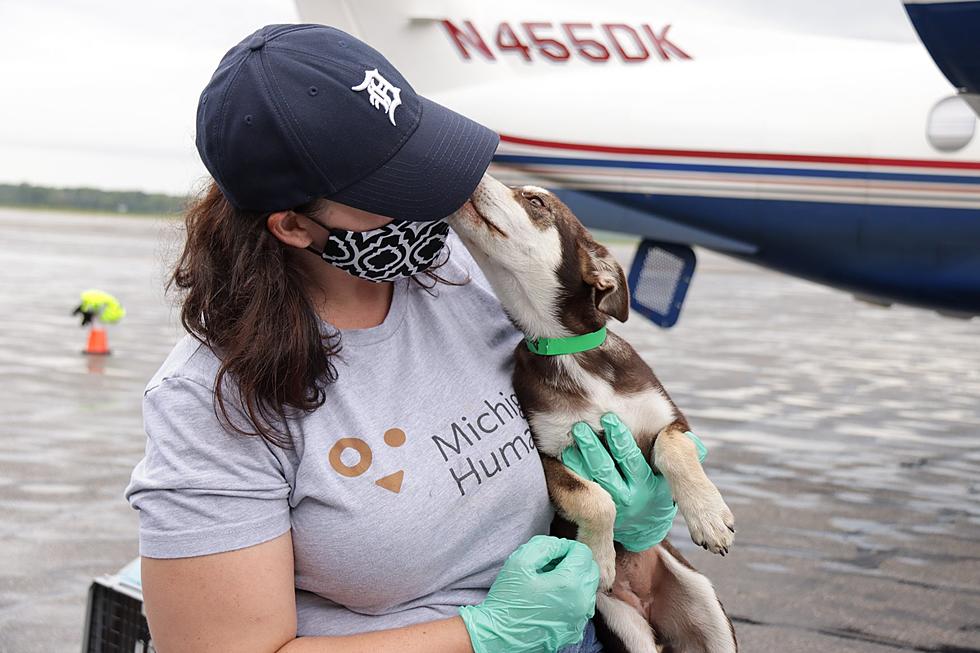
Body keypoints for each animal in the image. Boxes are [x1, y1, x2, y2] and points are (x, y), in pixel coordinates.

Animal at [448, 173, 740, 652]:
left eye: (535, 201)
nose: (478, 174)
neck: (570, 352)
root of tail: (647, 604)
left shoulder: (670, 422)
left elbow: (674, 450)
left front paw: (709, 516)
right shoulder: (548, 454)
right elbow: (594, 497)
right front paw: (599, 559)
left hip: (709, 614)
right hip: (626, 628)